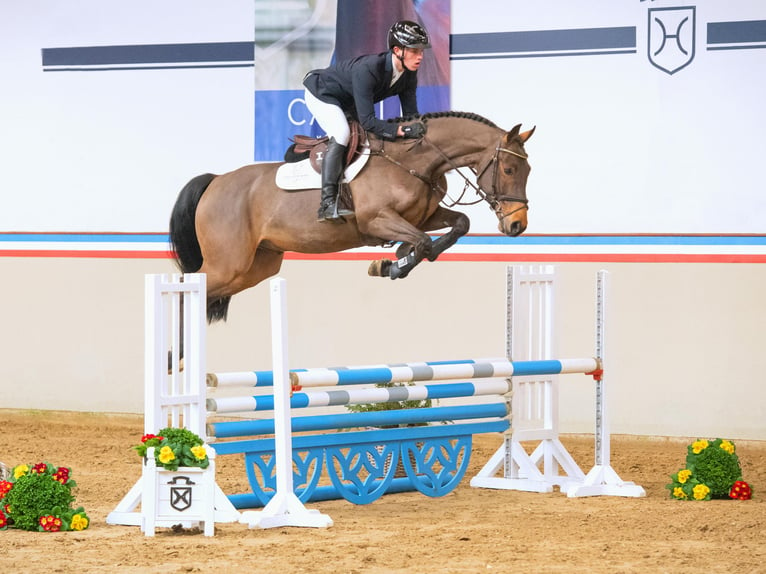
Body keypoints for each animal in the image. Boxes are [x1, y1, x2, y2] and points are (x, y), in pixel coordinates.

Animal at [171, 111, 536, 324]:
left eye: (527, 170)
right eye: (508, 169)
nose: (517, 225)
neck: (412, 160)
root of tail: (215, 181)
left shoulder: (425, 215)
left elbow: (456, 226)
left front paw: (394, 261)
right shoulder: (376, 220)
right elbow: (422, 242)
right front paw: (393, 264)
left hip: (255, 267)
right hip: (227, 264)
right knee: (186, 289)